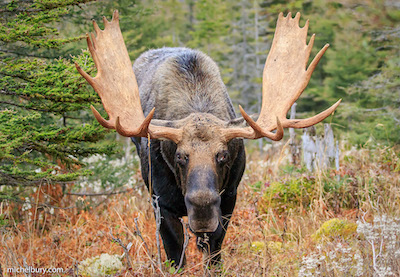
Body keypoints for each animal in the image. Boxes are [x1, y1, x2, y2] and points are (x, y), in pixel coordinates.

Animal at [74, 10, 340, 266]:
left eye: (222, 155)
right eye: (180, 156)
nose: (202, 210)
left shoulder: (229, 196)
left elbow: (214, 250)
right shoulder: (160, 201)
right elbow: (175, 253)